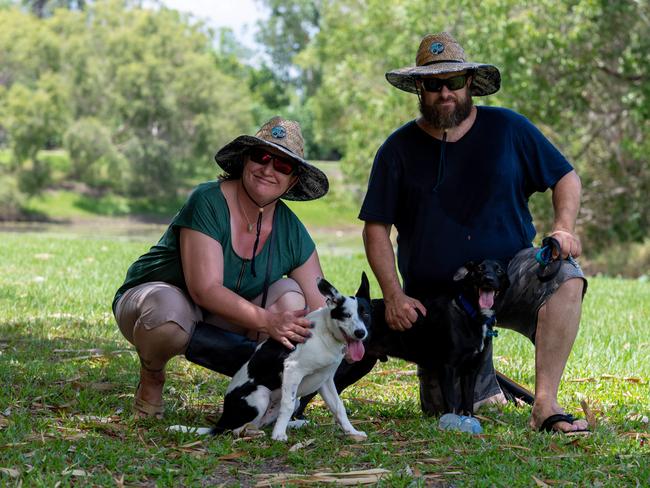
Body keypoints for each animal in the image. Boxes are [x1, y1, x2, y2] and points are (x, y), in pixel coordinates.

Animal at [208, 274, 370, 442]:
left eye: (366, 315)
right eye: (346, 315)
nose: (360, 333)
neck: (326, 332)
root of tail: (222, 420)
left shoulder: (325, 379)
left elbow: (339, 407)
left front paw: (352, 431)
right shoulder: (293, 370)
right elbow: (287, 405)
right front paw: (279, 434)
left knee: (260, 423)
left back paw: (294, 424)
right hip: (260, 394)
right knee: (234, 429)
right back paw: (251, 432)